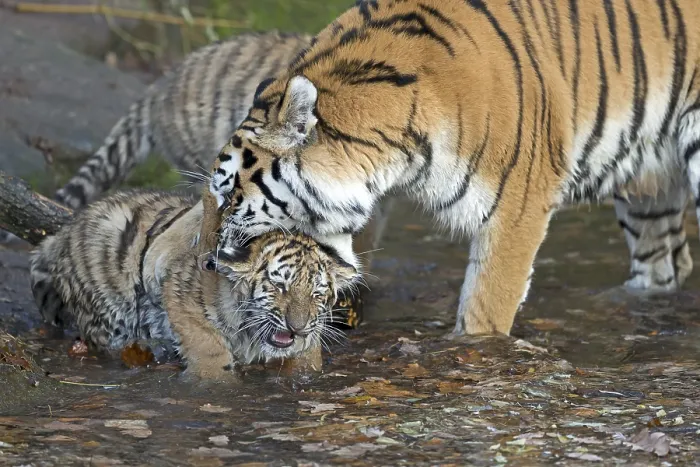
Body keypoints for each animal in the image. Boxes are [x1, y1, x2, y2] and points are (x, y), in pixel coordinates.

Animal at [29, 189, 359, 381]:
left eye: (316, 293)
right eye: (279, 286)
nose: (298, 327)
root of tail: (65, 230)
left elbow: (305, 358)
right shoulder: (179, 291)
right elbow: (208, 347)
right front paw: (213, 381)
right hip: (108, 312)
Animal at [203, 0, 700, 337]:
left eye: (229, 196)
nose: (207, 260)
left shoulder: (519, 207)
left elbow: (484, 309)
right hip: (649, 193)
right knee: (665, 266)